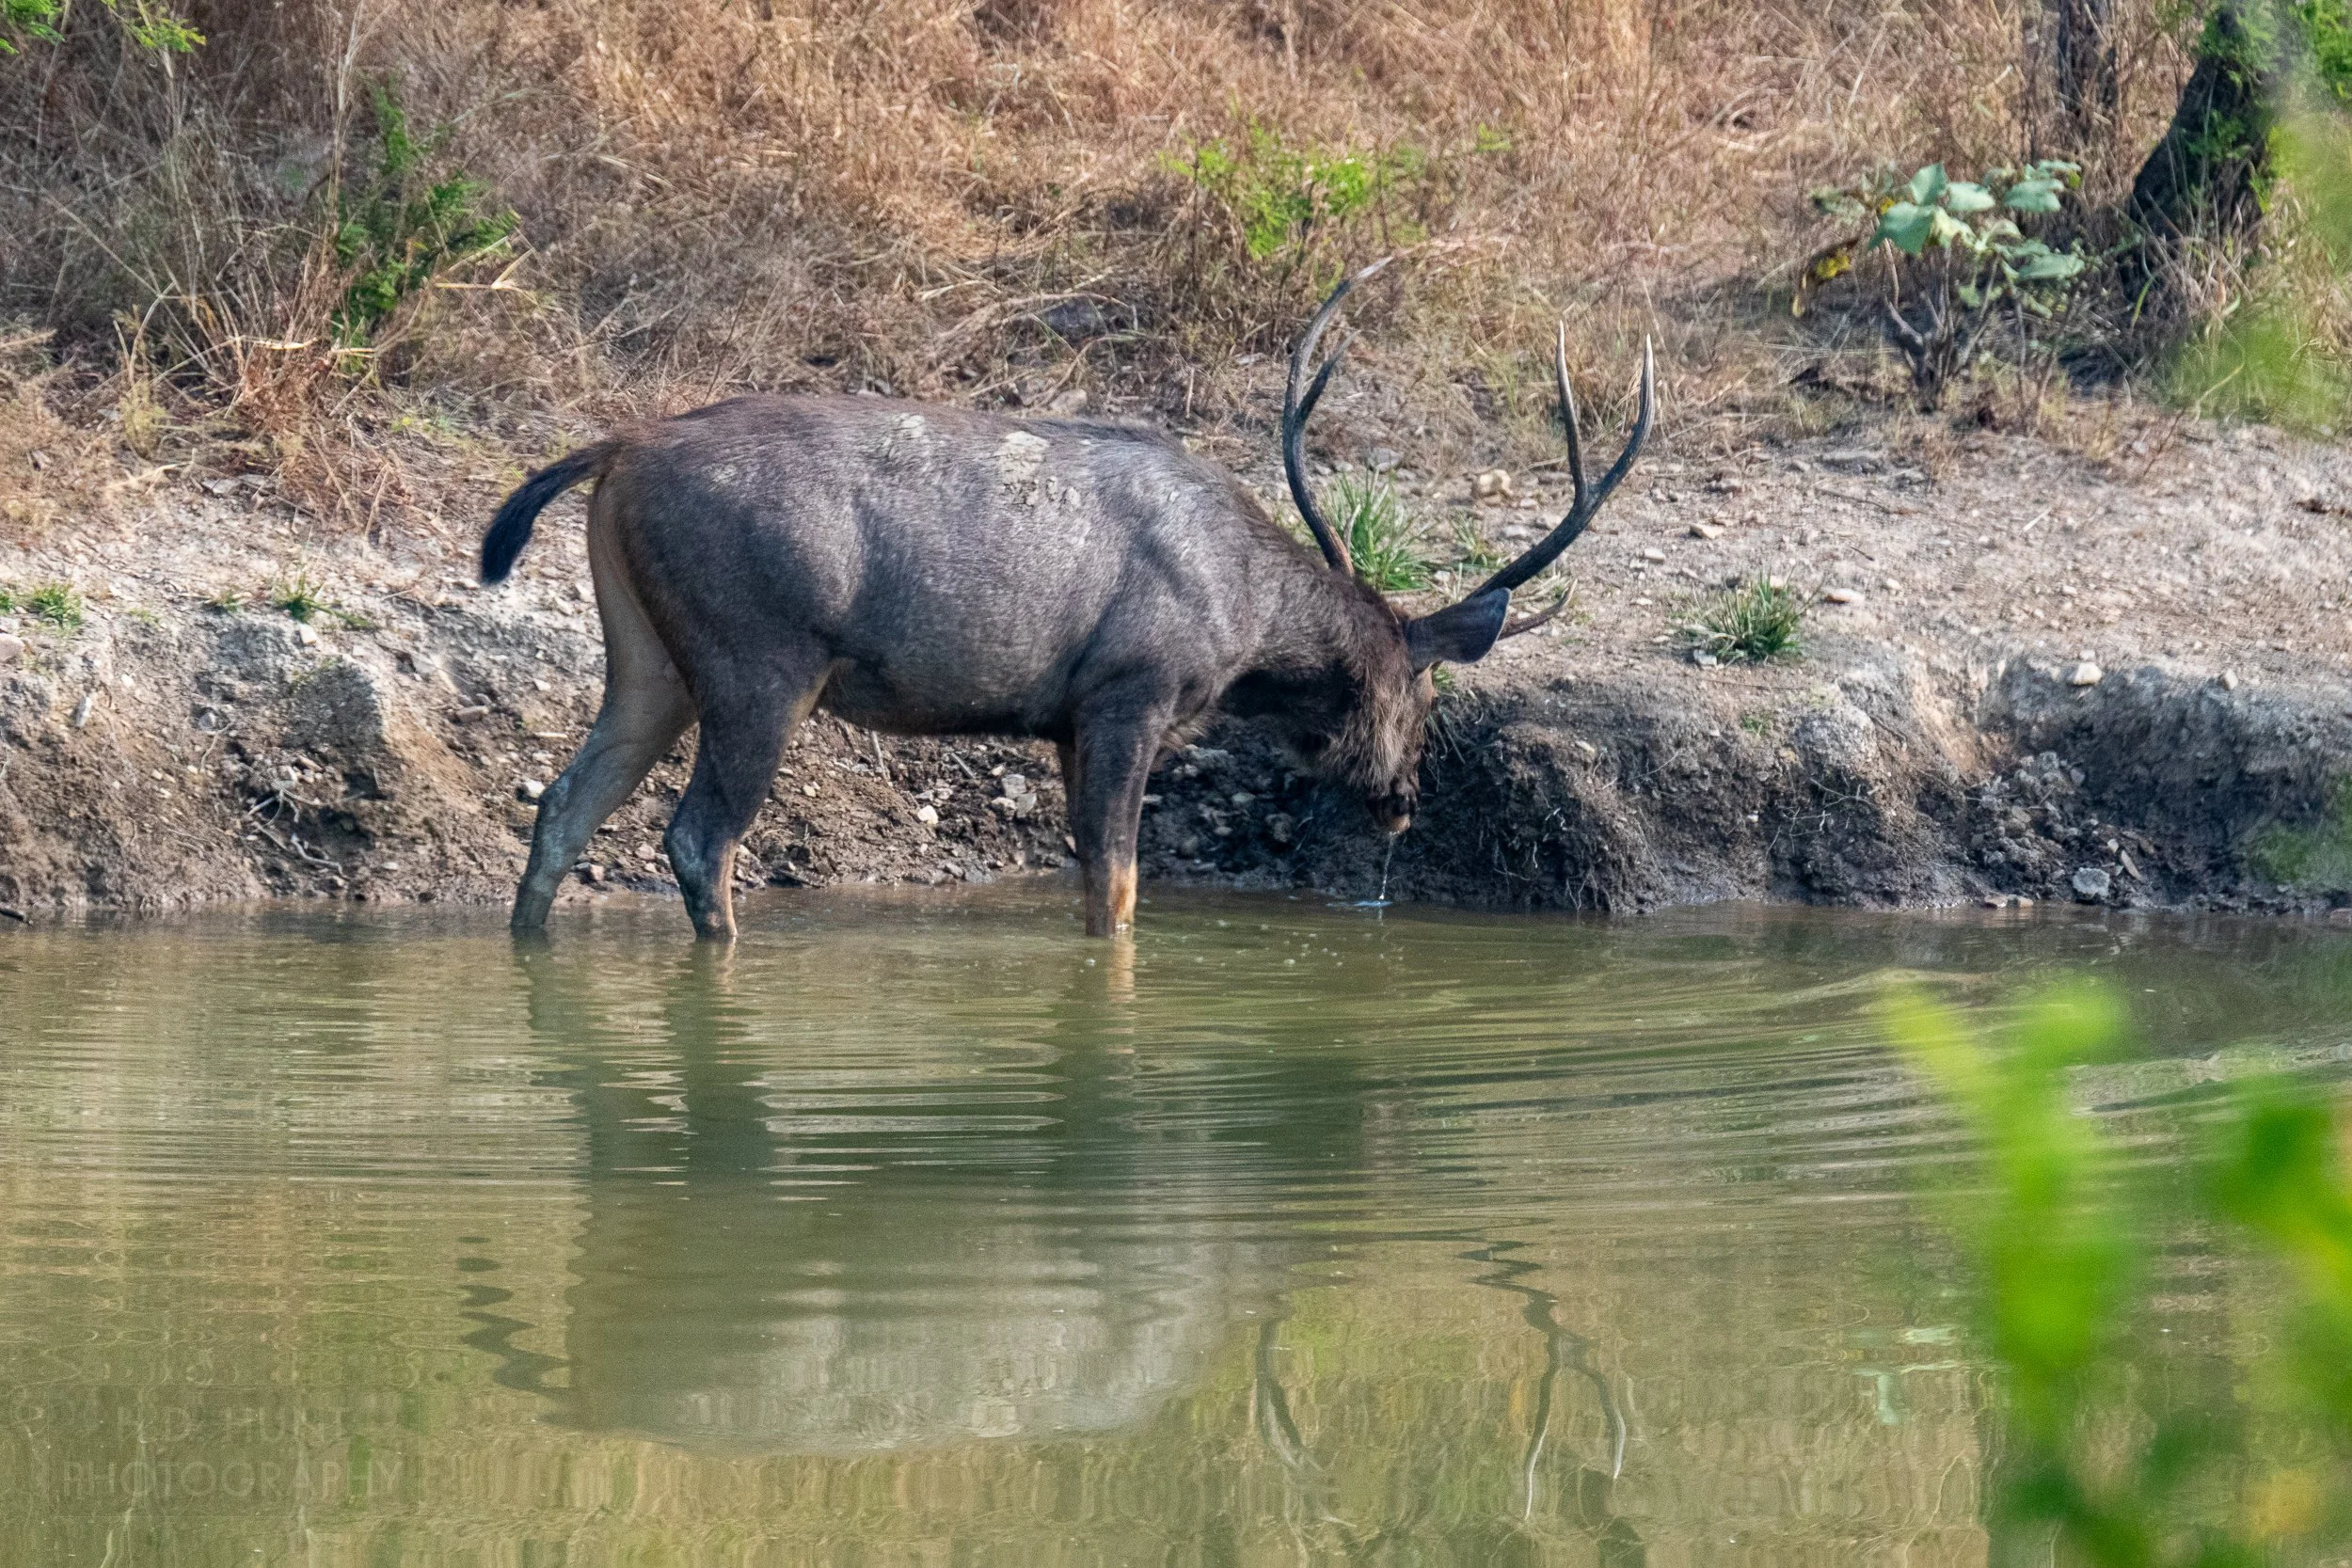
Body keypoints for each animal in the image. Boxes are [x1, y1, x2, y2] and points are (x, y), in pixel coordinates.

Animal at [479, 262, 1653, 940]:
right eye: (1423, 697)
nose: (1403, 799)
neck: (1246, 631)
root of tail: (614, 452)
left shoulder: (1060, 719)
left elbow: (1091, 874)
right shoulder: (1131, 688)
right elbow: (1120, 886)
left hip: (647, 655)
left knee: (563, 804)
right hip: (759, 656)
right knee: (697, 839)